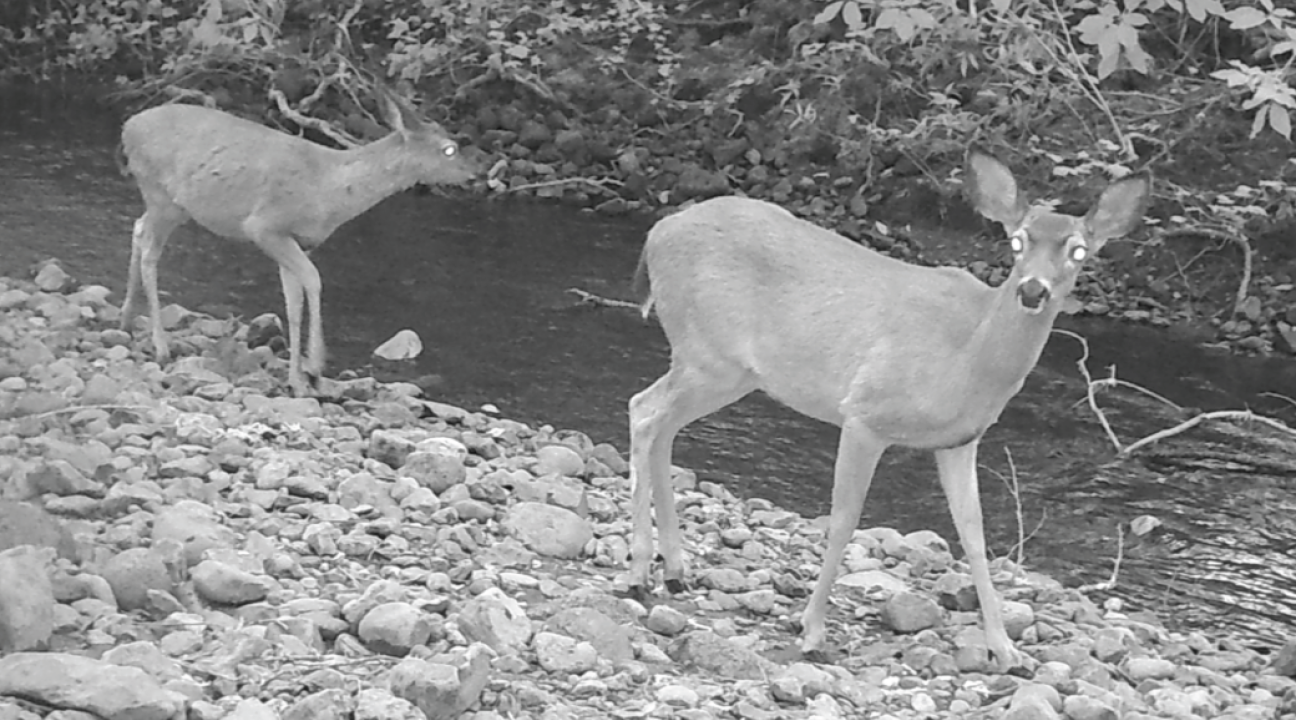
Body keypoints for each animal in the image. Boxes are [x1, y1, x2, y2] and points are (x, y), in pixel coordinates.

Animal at [118, 86, 478, 396]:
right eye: (449, 149)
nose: (475, 174)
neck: (329, 190)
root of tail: (127, 125)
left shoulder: (297, 241)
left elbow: (293, 303)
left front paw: (297, 380)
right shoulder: (265, 226)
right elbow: (314, 281)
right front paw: (315, 368)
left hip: (171, 205)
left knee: (137, 227)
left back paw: (126, 319)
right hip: (161, 194)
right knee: (150, 249)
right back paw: (161, 346)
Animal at [625, 147, 1151, 669]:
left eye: (1079, 250)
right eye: (1018, 241)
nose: (1032, 290)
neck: (968, 357)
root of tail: (656, 232)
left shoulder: (961, 440)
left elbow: (974, 535)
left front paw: (1005, 648)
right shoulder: (865, 414)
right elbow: (843, 521)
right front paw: (812, 631)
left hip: (727, 370)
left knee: (661, 423)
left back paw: (673, 569)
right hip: (708, 353)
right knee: (643, 410)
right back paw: (640, 569)